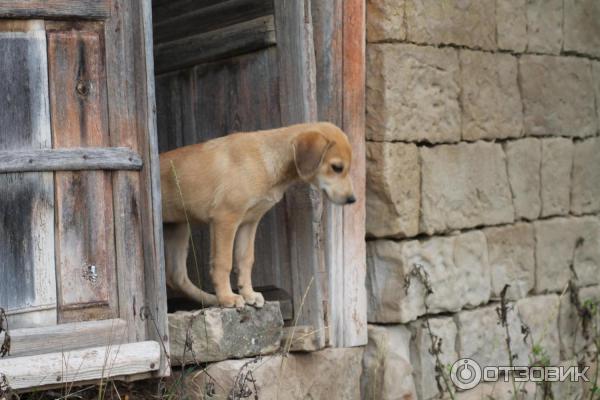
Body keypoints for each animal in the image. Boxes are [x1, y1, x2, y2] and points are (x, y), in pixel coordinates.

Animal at [159, 122, 356, 310]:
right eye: (337, 167)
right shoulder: (225, 218)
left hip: (178, 228)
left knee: (176, 276)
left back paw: (210, 299)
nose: (352, 199)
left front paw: (248, 295)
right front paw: (228, 298)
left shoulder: (249, 222)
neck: (264, 159)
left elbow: (245, 260)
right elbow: (223, 262)